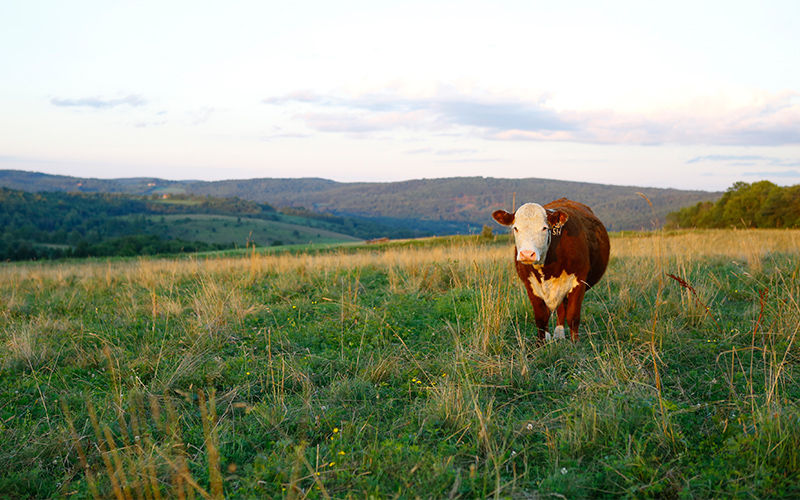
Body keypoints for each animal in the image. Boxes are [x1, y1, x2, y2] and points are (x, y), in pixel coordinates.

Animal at [490, 197, 608, 346]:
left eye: (544, 228)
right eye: (515, 228)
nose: (527, 254)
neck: (547, 270)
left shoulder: (579, 282)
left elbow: (573, 316)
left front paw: (575, 343)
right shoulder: (531, 285)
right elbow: (541, 317)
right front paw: (540, 343)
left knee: (563, 309)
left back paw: (559, 334)